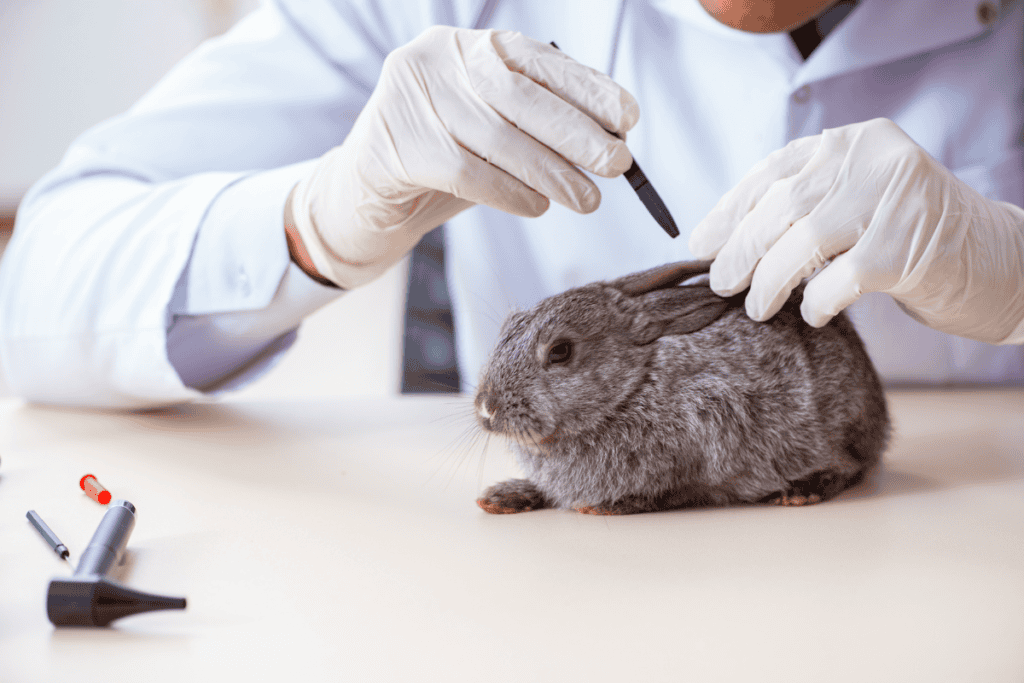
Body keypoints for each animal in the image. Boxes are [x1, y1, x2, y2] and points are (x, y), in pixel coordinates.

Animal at [473, 260, 890, 515]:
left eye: (560, 351)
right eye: (506, 329)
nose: (485, 408)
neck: (631, 386)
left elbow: (671, 490)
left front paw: (604, 506)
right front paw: (503, 496)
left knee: (852, 466)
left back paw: (801, 491)